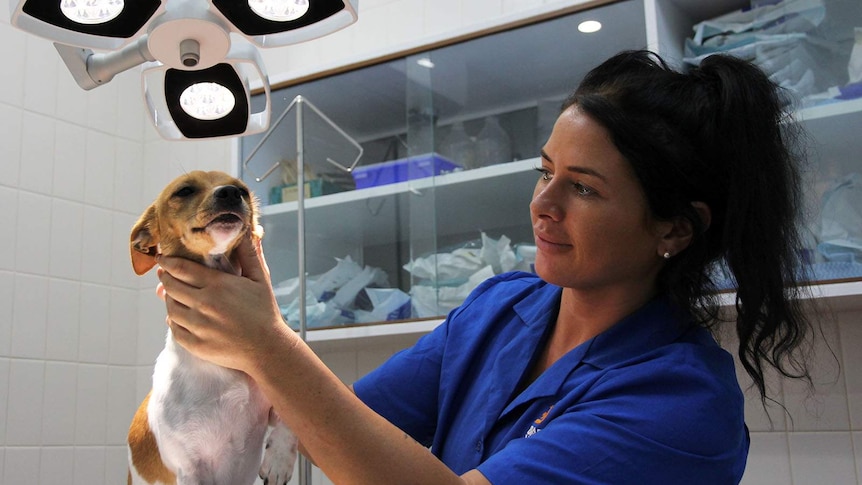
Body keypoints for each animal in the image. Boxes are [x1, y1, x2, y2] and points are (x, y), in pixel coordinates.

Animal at [126, 171, 298, 484]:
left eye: (243, 189)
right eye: (184, 190)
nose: (230, 192)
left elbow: (288, 419)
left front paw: (278, 461)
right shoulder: (191, 467)